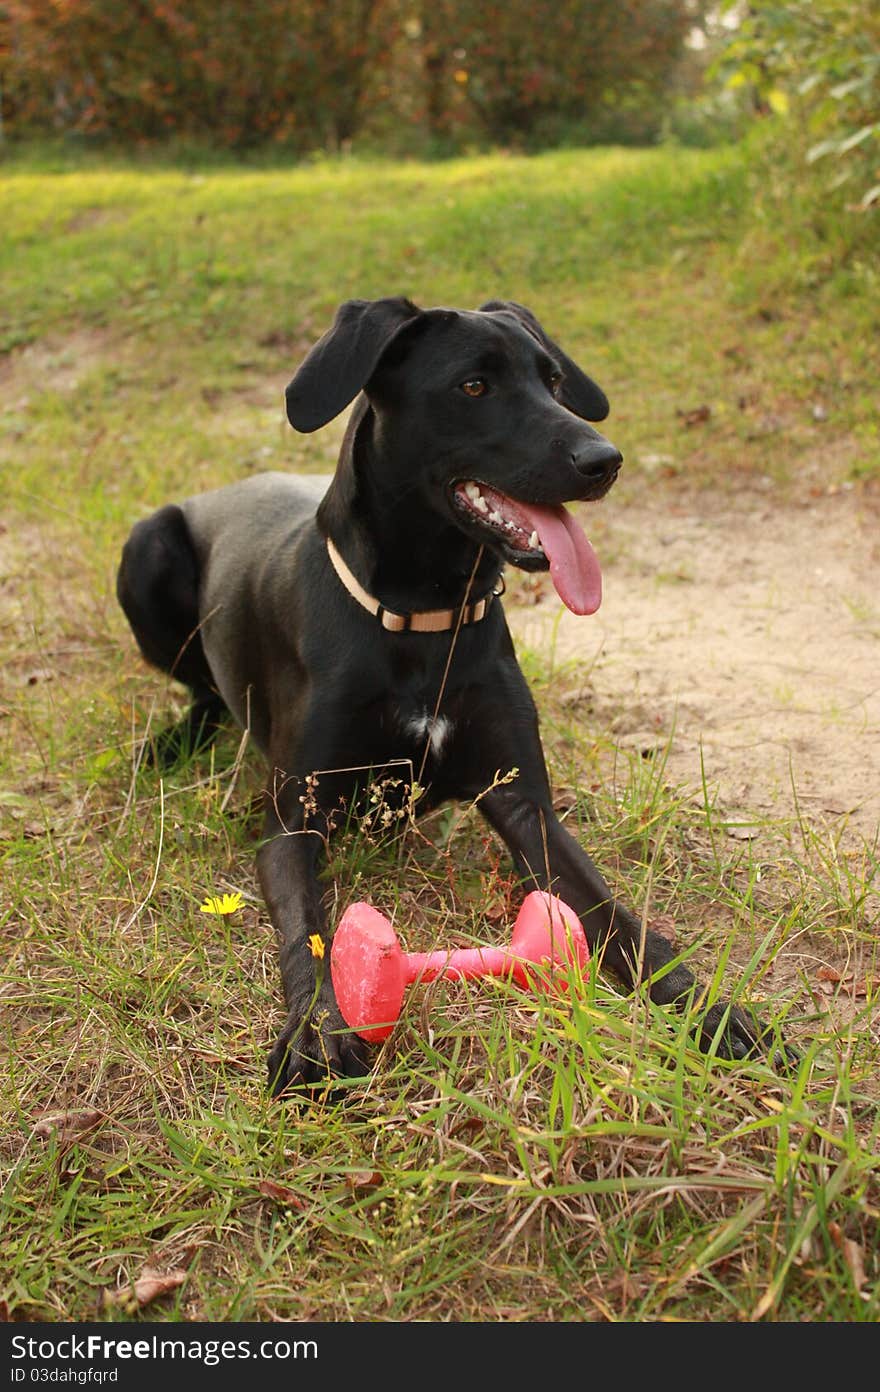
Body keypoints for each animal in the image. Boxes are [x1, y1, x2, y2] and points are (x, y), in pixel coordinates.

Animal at [116, 299, 774, 1091]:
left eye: (554, 380)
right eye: (473, 386)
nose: (605, 461)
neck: (424, 620)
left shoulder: (523, 800)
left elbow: (616, 913)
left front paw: (707, 1007)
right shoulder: (293, 822)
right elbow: (308, 933)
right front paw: (316, 1032)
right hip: (146, 547)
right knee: (204, 691)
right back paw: (170, 744)